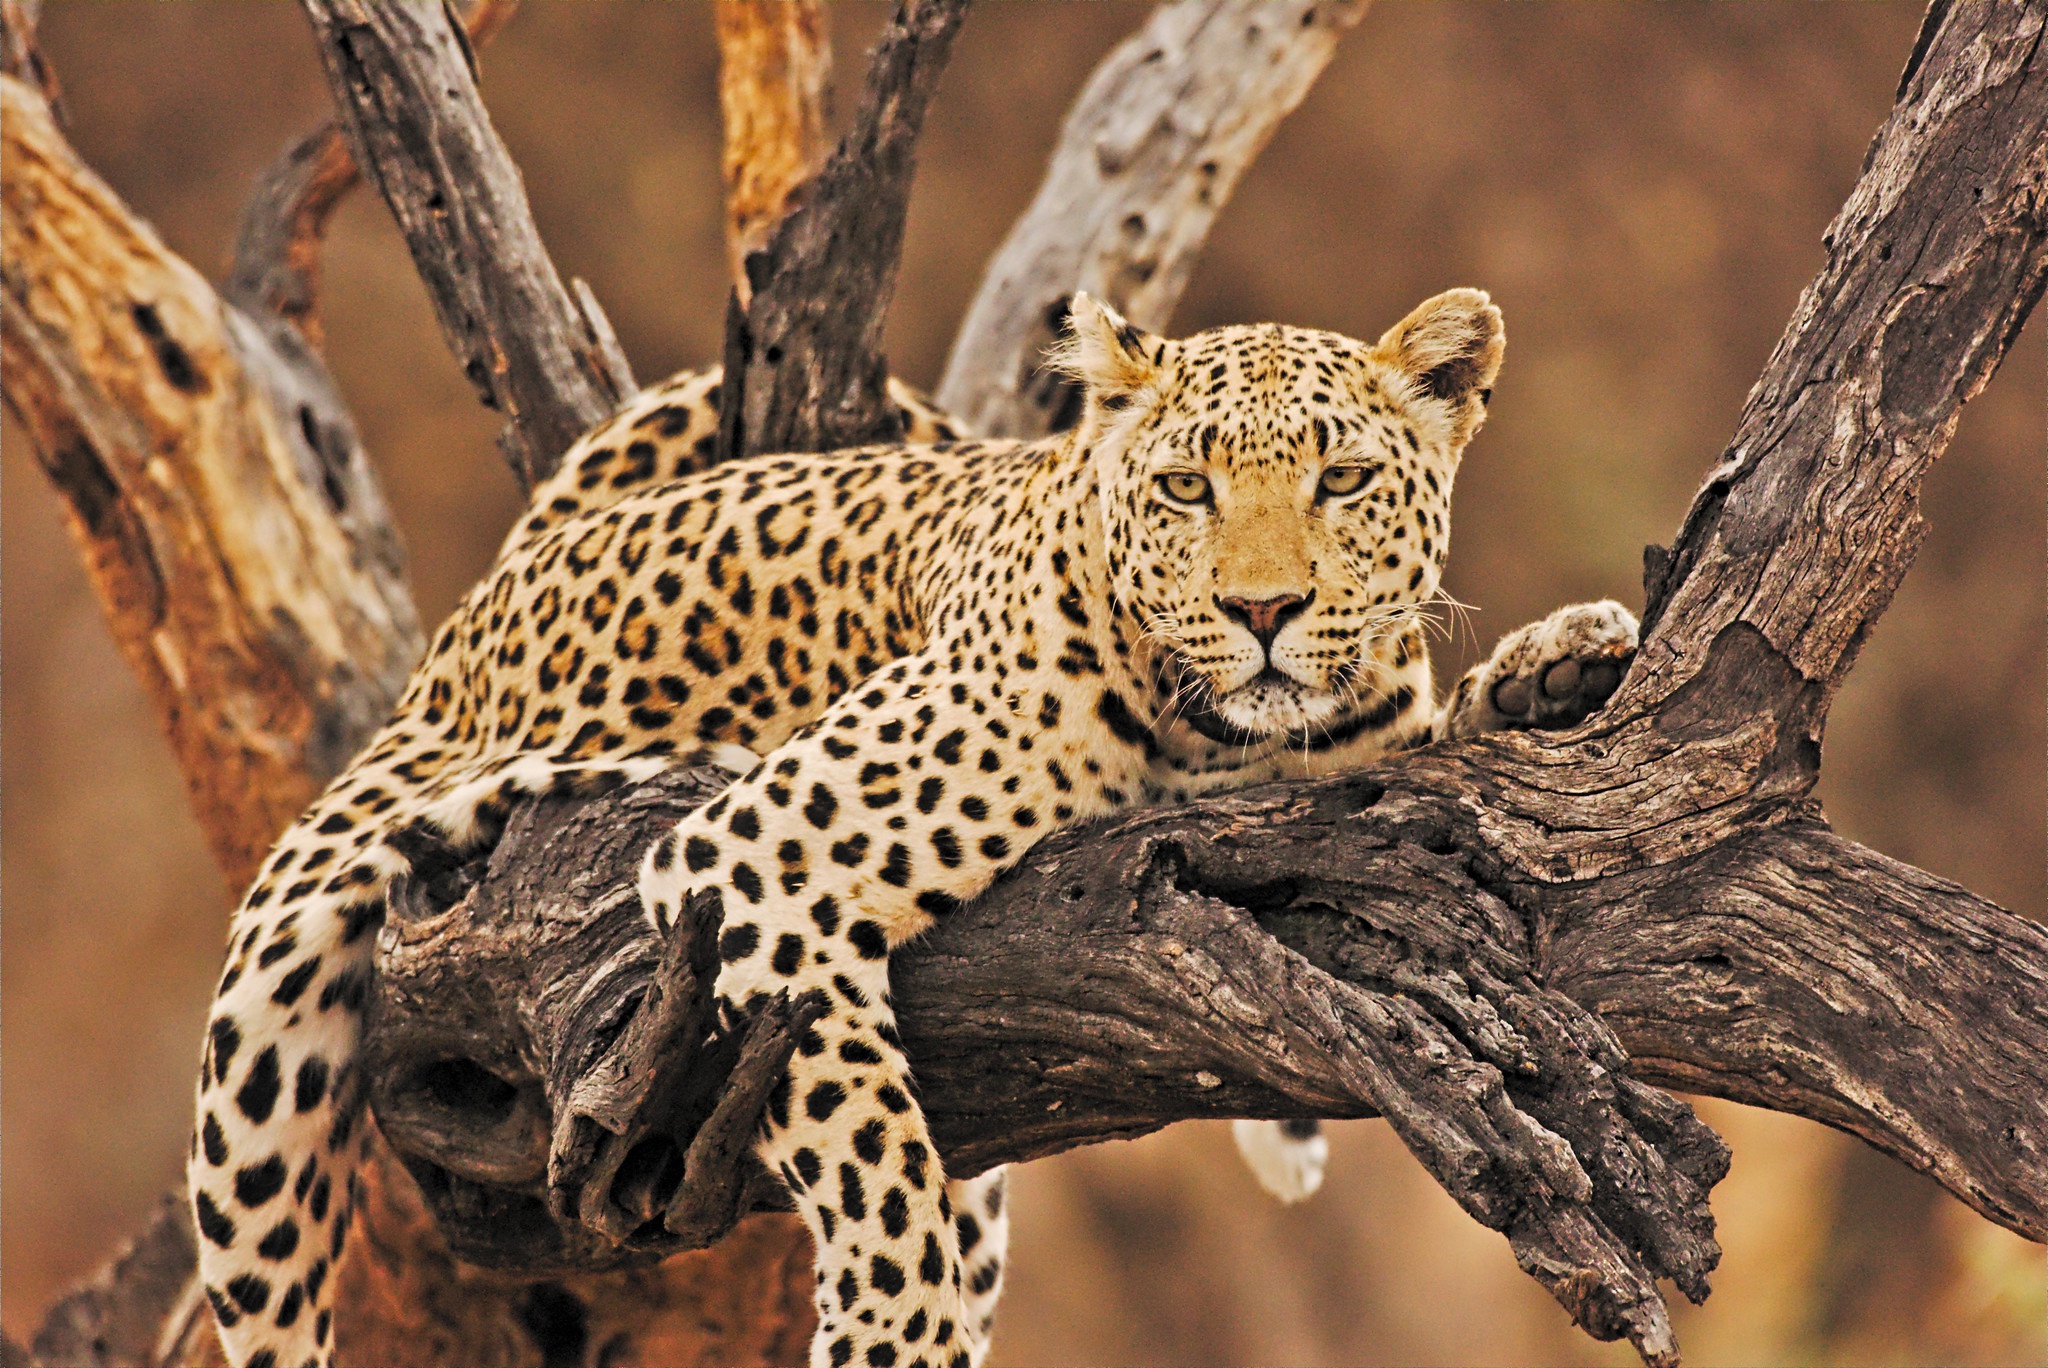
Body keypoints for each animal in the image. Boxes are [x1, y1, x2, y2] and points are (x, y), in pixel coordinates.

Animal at [188, 288, 1630, 1368]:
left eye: (1342, 478)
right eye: (1183, 488)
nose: (1263, 609)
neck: (1232, 742)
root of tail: (508, 575)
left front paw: (1560, 667)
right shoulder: (752, 865)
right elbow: (874, 1155)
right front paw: (891, 1331)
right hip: (263, 1058)